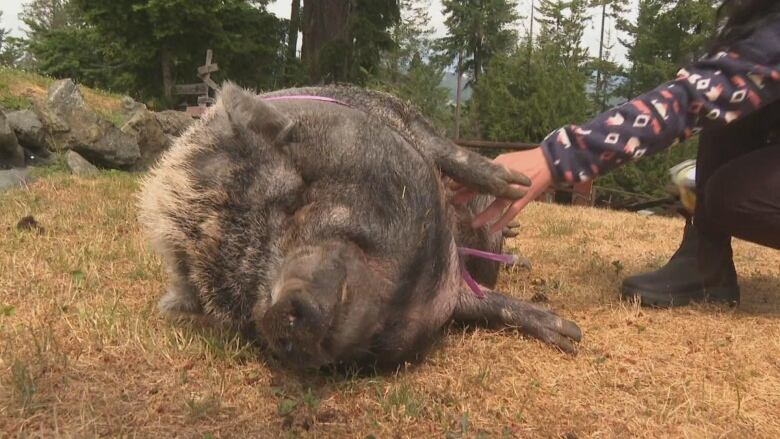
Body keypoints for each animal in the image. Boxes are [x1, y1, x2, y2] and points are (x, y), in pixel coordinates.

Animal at [139, 83, 580, 372]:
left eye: (295, 202)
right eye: (246, 298)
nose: (281, 307)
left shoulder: (409, 127)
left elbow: (452, 155)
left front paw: (572, 338)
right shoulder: (452, 296)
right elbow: (485, 304)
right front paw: (570, 333)